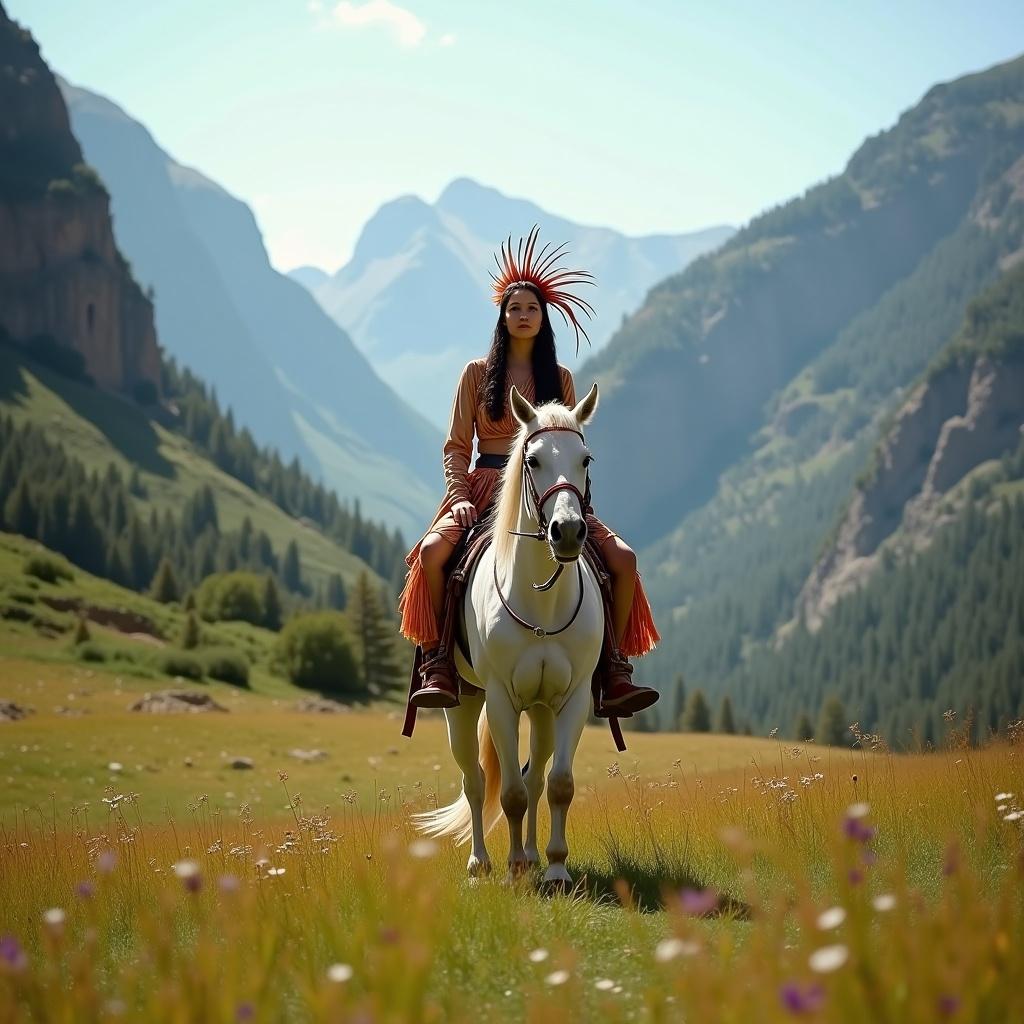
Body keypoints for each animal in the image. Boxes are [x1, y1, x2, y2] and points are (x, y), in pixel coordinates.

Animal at [411, 380, 602, 884]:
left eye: (585, 459)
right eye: (532, 460)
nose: (567, 532)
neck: (541, 601)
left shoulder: (572, 698)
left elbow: (557, 784)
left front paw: (555, 869)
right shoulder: (499, 699)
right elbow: (510, 792)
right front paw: (514, 870)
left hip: (540, 708)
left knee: (534, 777)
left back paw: (535, 856)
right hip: (463, 702)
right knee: (475, 781)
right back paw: (481, 862)